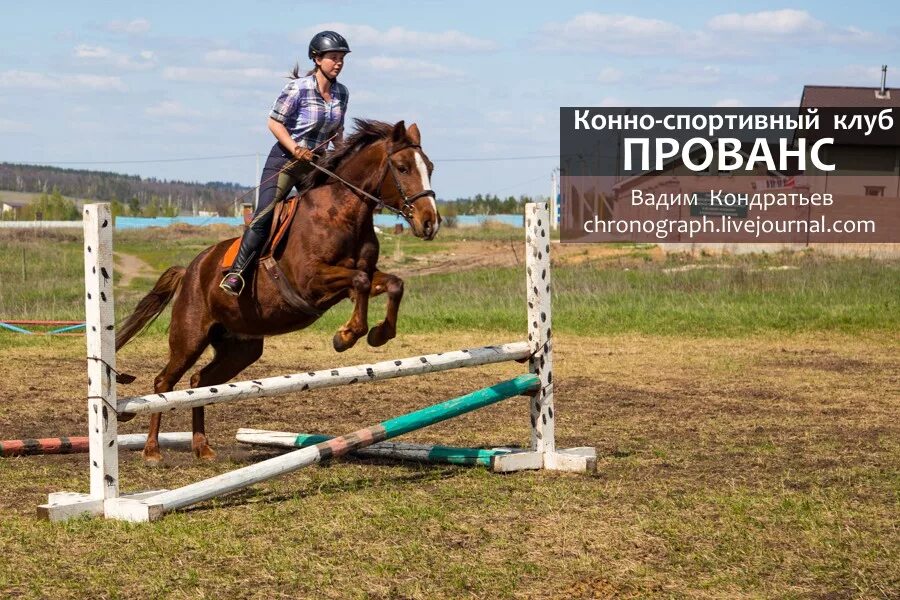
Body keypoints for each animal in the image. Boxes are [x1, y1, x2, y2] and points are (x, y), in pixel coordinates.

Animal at [114, 118, 444, 464]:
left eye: (430, 167)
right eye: (403, 167)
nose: (430, 223)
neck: (342, 213)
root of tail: (190, 270)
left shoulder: (361, 275)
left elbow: (391, 283)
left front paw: (378, 334)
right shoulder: (310, 281)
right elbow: (360, 282)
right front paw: (347, 335)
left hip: (240, 348)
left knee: (199, 382)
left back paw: (202, 446)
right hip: (190, 337)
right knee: (164, 381)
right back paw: (152, 450)